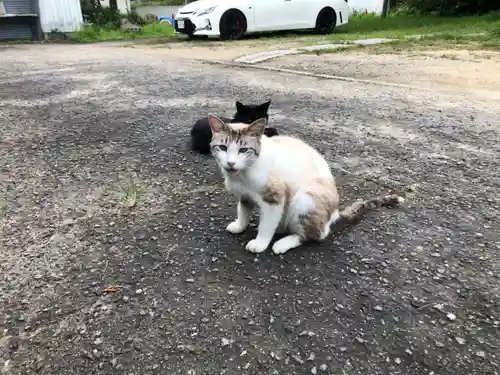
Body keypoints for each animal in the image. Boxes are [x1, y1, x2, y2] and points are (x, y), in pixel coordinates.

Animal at [206, 114, 402, 256]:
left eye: (243, 150)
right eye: (223, 148)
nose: (231, 163)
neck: (243, 174)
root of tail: (334, 215)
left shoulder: (274, 198)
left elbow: (266, 225)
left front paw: (260, 243)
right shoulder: (244, 195)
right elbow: (243, 211)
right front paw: (239, 226)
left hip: (305, 199)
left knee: (314, 235)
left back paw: (283, 242)